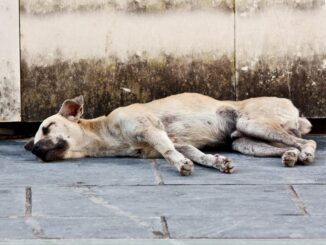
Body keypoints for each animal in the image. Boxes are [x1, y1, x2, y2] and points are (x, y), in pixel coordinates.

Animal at [24, 93, 316, 175]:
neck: (107, 131)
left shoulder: (150, 129)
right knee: (288, 146)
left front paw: (180, 165)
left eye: (47, 127)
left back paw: (307, 153)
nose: (34, 149)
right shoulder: (180, 142)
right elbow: (195, 154)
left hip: (252, 123)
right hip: (246, 143)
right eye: (34, 143)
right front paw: (217, 162)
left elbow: (169, 152)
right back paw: (292, 156)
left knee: (308, 140)